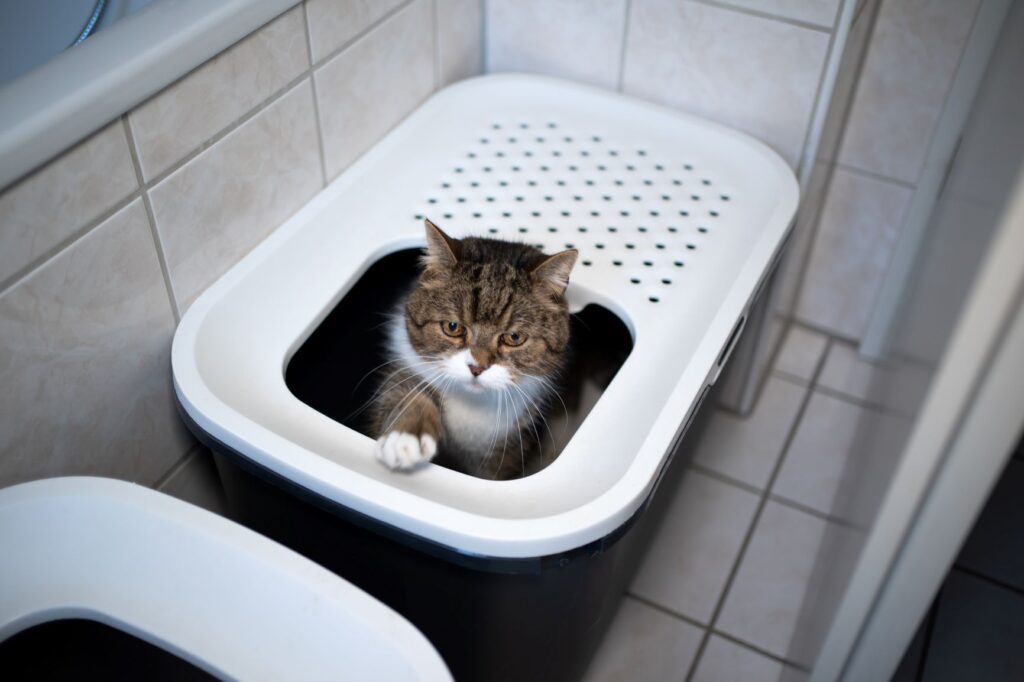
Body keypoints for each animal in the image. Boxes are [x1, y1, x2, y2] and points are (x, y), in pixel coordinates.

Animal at [368, 218, 577, 477]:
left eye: (514, 337)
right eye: (453, 327)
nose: (476, 368)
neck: (470, 403)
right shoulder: (407, 364)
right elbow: (403, 391)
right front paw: (405, 436)